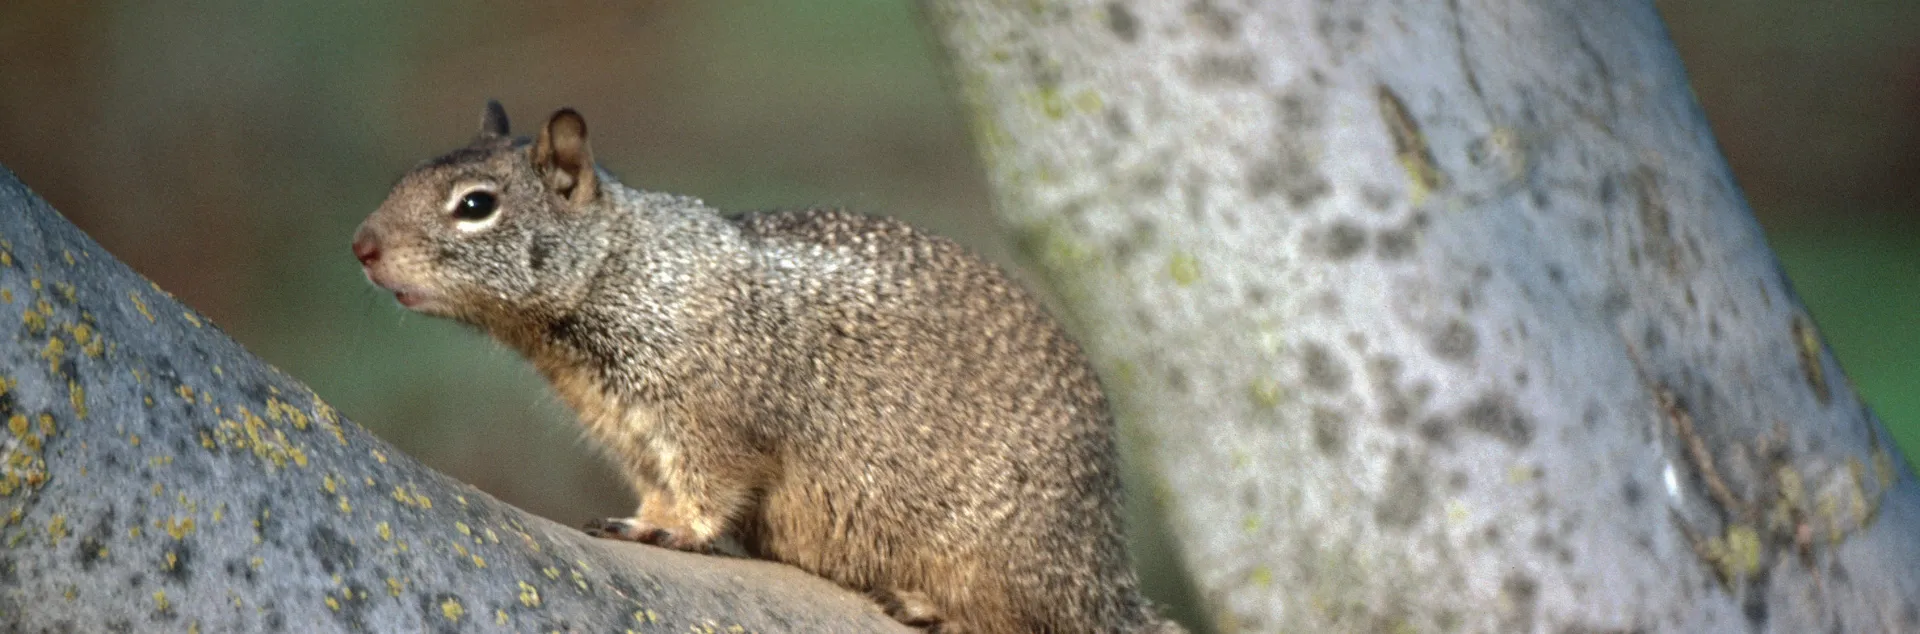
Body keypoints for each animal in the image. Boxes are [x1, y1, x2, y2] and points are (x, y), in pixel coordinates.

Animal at [351, 101, 1183, 634]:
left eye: (476, 205)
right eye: (410, 174)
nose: (362, 246)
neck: (624, 268)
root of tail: (1107, 581)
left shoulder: (708, 418)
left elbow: (711, 486)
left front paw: (674, 532)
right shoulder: (634, 434)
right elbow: (659, 487)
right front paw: (642, 520)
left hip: (1006, 558)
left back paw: (933, 607)